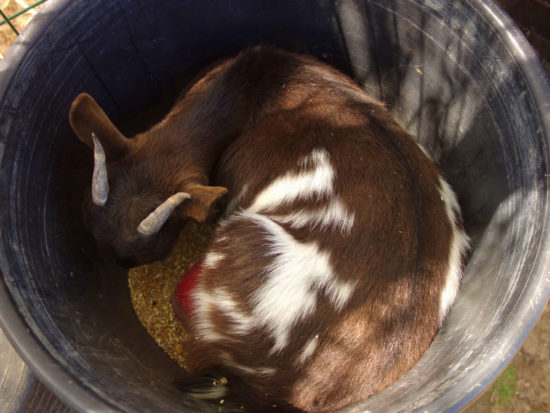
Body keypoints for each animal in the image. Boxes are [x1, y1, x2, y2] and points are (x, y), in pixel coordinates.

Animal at [69, 46, 470, 410]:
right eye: (92, 225)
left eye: (157, 248)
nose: (120, 262)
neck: (253, 83)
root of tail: (282, 393)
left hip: (245, 241)